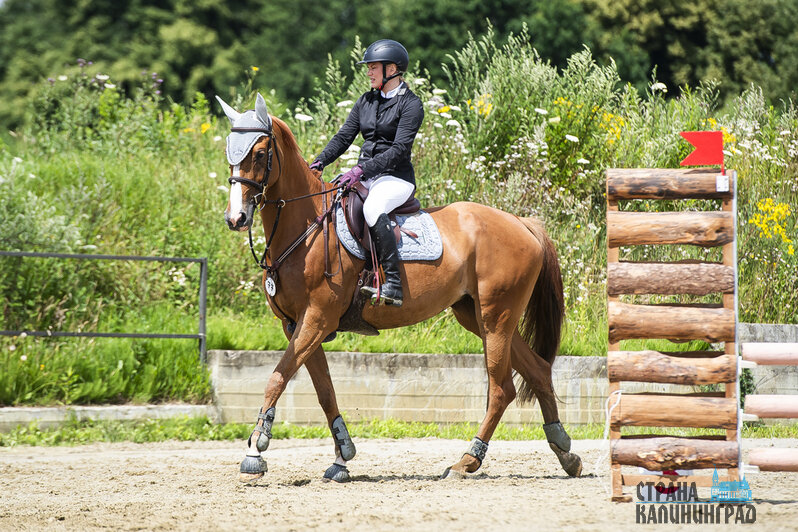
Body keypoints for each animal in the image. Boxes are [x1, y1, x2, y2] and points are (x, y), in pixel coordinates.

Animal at [217, 93, 583, 483]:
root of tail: (522, 223)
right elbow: (324, 391)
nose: (236, 218)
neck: (306, 226)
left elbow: (277, 378)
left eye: (259, 153)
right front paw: (342, 457)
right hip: (480, 317)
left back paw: (467, 461)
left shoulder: (315, 319)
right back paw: (565, 452)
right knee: (538, 371)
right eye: (230, 151)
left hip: (496, 317)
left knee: (501, 390)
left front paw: (255, 451)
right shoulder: (296, 325)